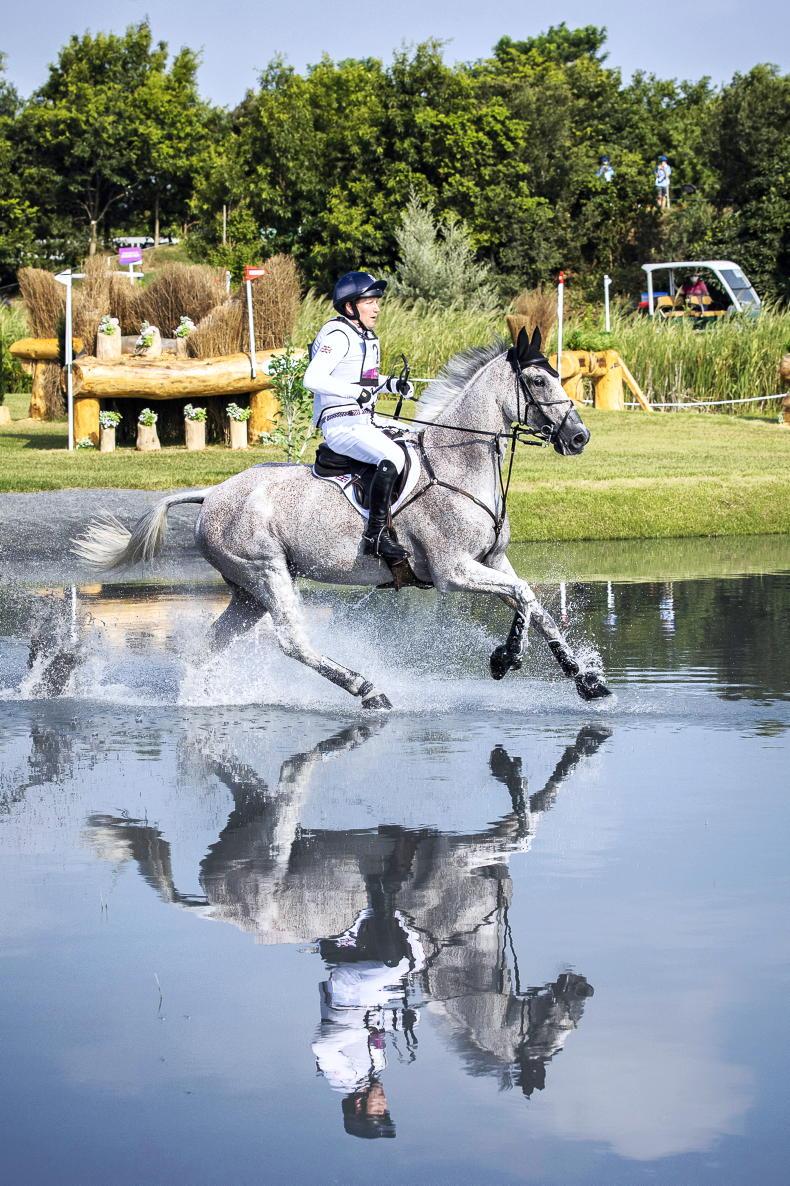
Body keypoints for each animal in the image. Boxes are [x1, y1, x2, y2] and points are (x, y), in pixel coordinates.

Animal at [73, 327, 612, 709]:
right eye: (538, 380)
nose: (580, 437)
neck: (460, 463)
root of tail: (213, 495)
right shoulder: (452, 571)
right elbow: (521, 598)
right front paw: (506, 659)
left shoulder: (493, 562)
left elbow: (534, 605)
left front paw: (584, 679)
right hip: (266, 573)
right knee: (293, 643)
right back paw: (367, 690)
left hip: (248, 593)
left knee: (211, 647)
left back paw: (199, 701)